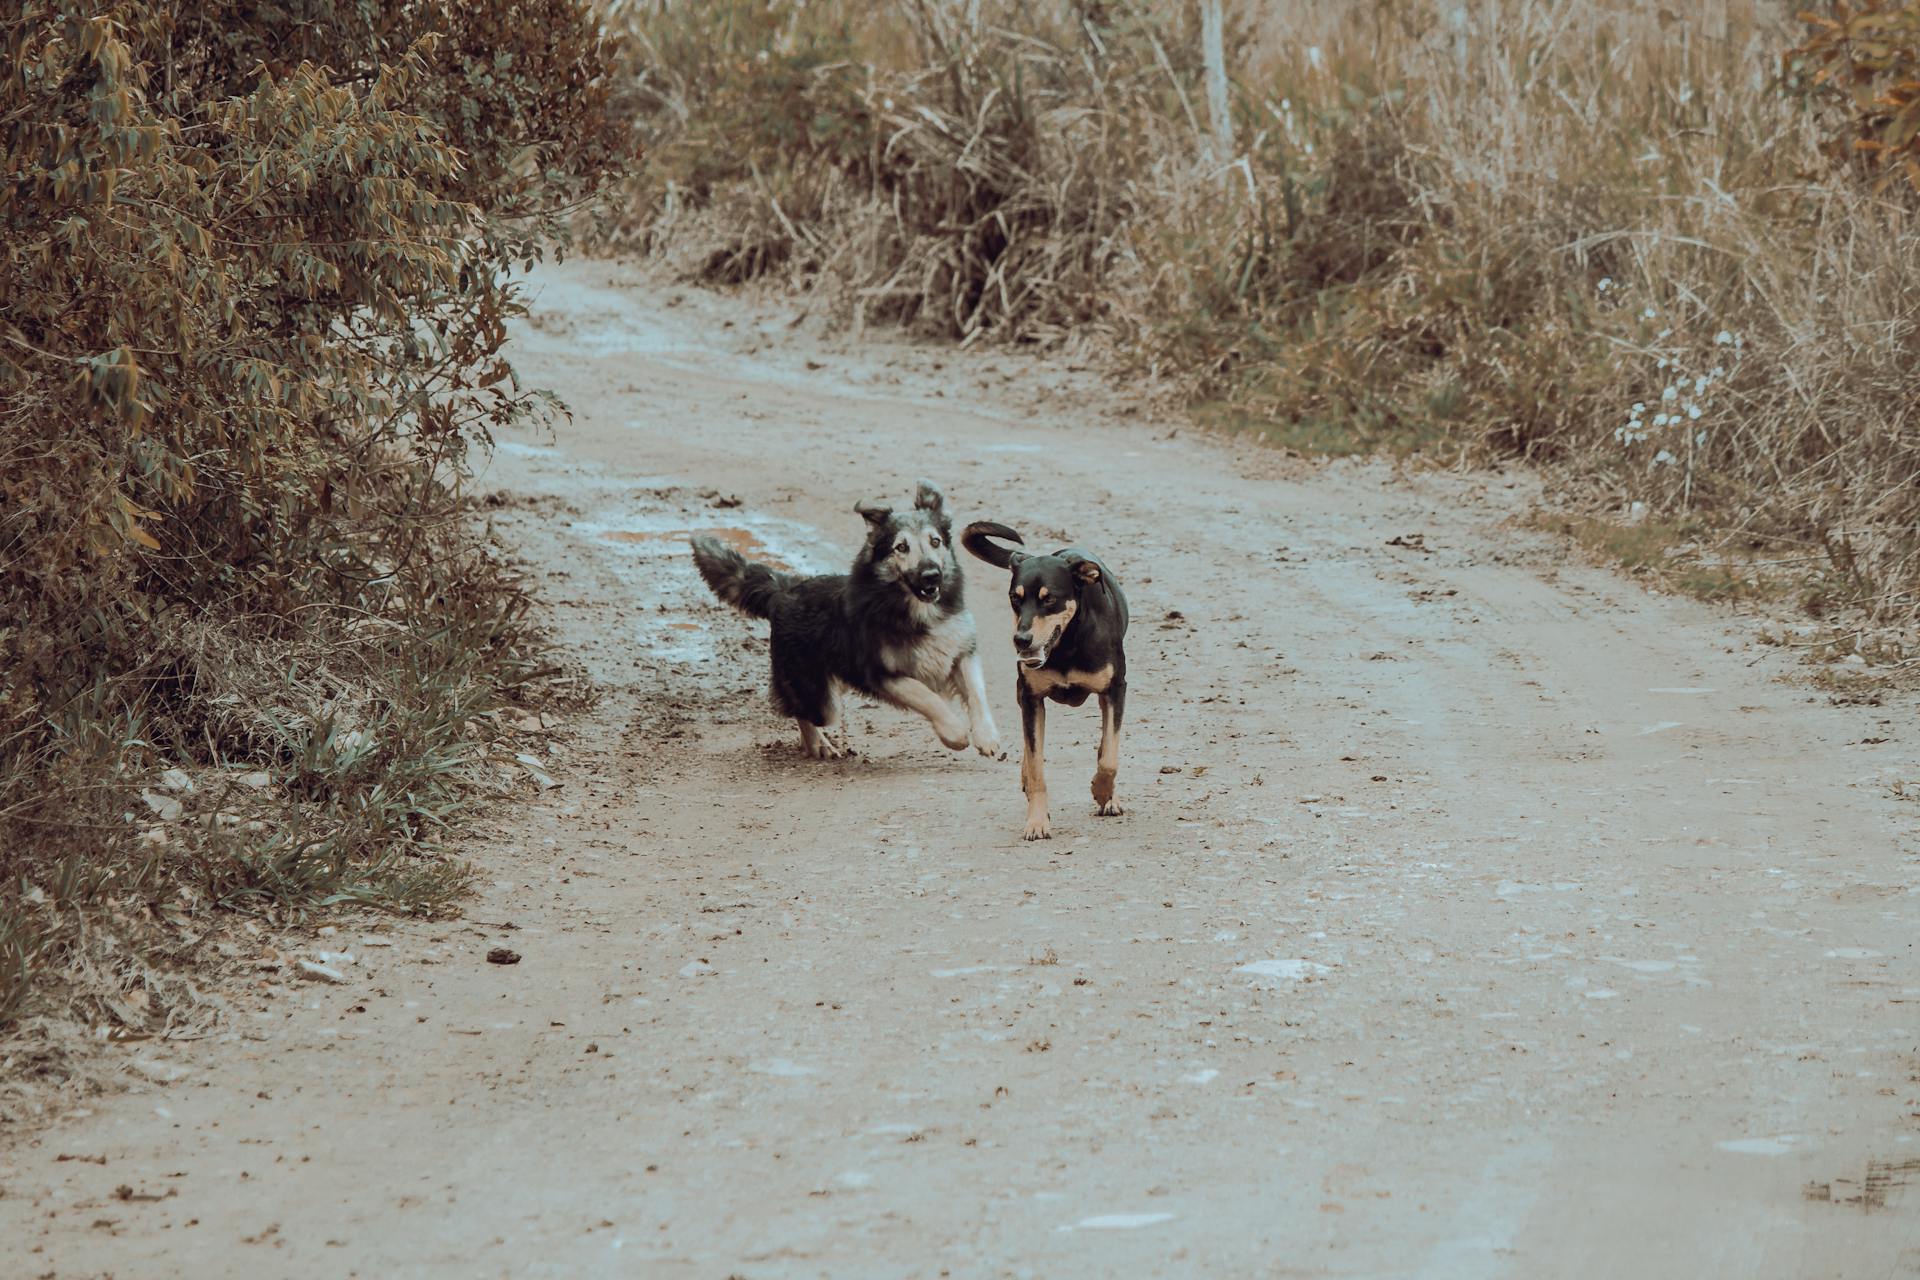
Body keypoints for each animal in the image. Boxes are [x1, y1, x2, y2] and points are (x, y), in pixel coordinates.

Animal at [687, 479, 1006, 759]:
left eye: (935, 541)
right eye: (901, 547)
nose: (931, 576)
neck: (916, 610)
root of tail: (785, 588)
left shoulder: (961, 653)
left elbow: (977, 695)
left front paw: (987, 737)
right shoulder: (881, 673)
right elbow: (929, 698)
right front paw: (954, 733)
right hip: (819, 695)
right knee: (803, 712)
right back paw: (819, 745)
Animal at [960, 521, 1121, 840]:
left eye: (1049, 599)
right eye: (1015, 599)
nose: (1021, 639)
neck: (1067, 645)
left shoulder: (1115, 690)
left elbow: (1109, 756)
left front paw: (1102, 792)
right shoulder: (1031, 698)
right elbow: (1036, 767)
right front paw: (1036, 820)